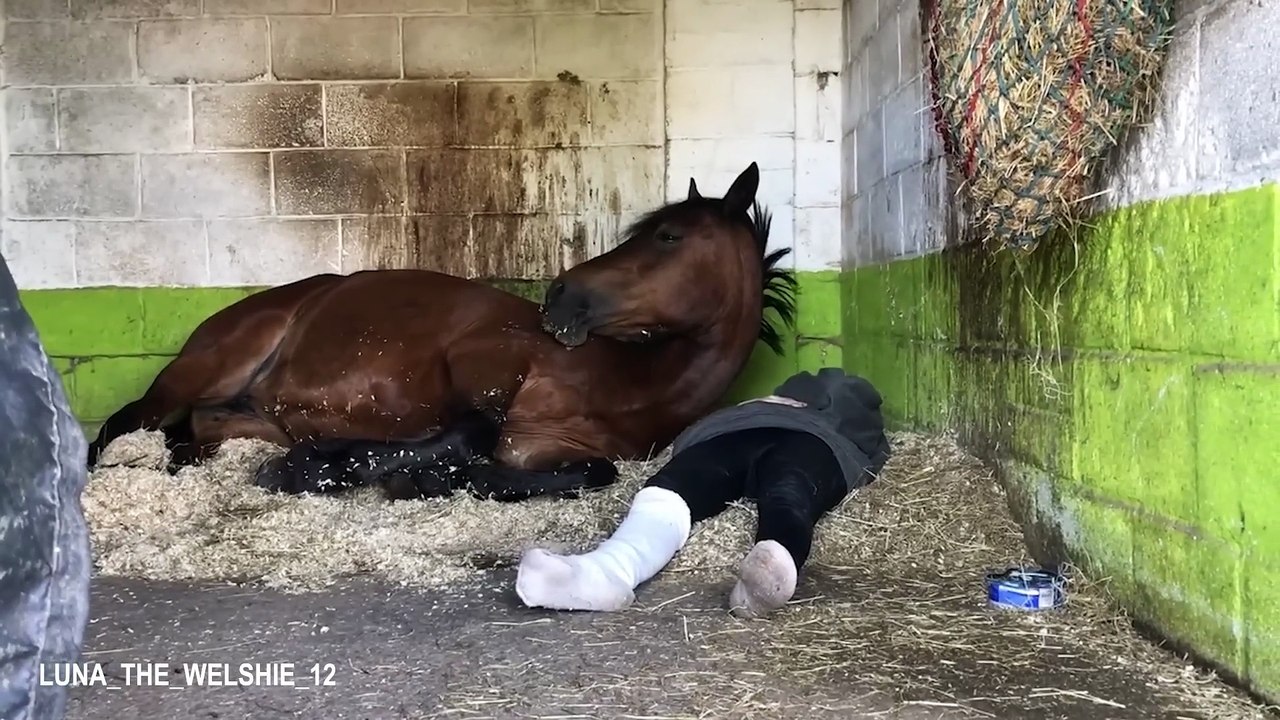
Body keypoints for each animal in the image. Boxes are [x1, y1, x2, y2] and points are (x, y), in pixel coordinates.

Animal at [87, 162, 798, 501]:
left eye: (670, 236)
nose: (560, 294)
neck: (618, 382)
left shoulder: (548, 450)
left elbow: (589, 472)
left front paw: (439, 480)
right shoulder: (480, 365)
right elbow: (469, 430)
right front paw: (325, 467)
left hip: (240, 420)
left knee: (191, 434)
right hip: (200, 370)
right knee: (124, 422)